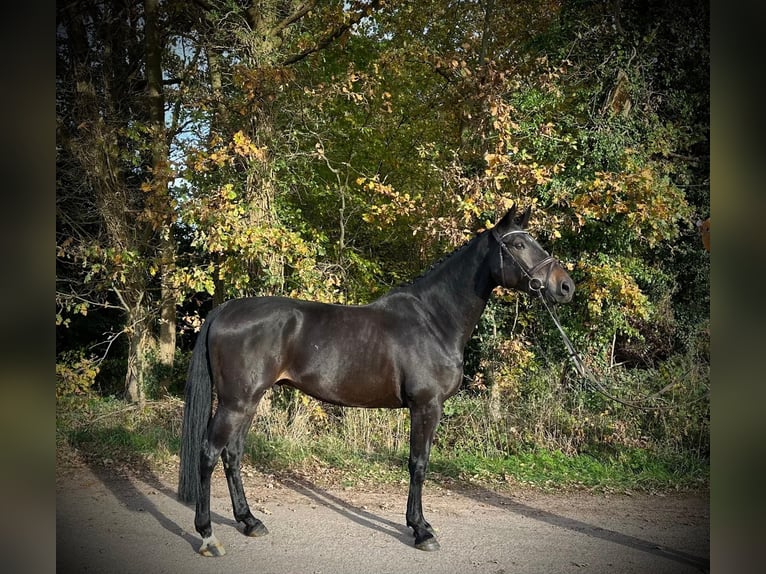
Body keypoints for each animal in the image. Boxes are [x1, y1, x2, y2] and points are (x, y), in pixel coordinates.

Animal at [178, 205, 575, 556]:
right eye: (518, 244)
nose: (565, 286)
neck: (434, 320)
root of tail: (226, 309)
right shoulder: (426, 406)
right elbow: (418, 464)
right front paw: (421, 530)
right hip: (236, 403)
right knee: (209, 453)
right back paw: (208, 534)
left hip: (249, 401)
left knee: (232, 455)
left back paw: (249, 521)